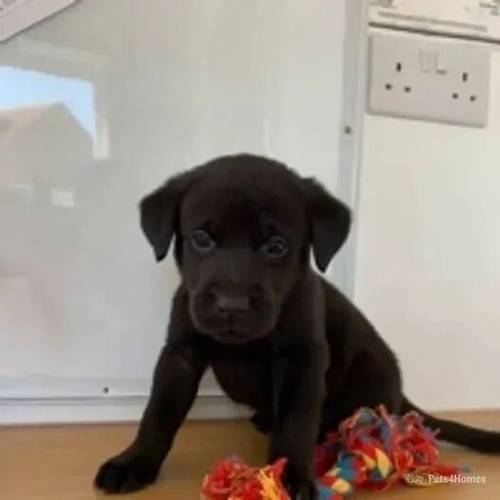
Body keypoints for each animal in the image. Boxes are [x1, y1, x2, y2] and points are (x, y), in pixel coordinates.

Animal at [94, 154, 500, 498]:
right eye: (201, 239)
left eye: (276, 246)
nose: (232, 304)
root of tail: (401, 397)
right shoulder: (180, 353)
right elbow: (158, 412)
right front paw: (134, 461)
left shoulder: (301, 360)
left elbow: (295, 423)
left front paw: (288, 477)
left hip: (368, 373)